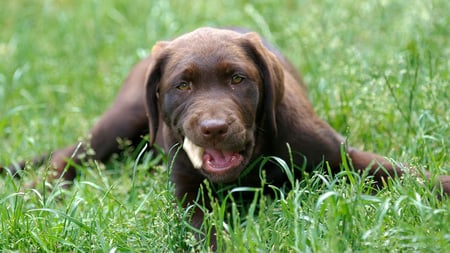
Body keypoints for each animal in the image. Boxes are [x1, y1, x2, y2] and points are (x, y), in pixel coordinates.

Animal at [3, 27, 450, 247]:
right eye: (182, 85)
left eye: (238, 79)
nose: (214, 128)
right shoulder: (188, 192)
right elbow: (207, 229)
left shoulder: (337, 154)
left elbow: (406, 173)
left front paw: (440, 186)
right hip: (123, 120)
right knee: (71, 152)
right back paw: (34, 191)